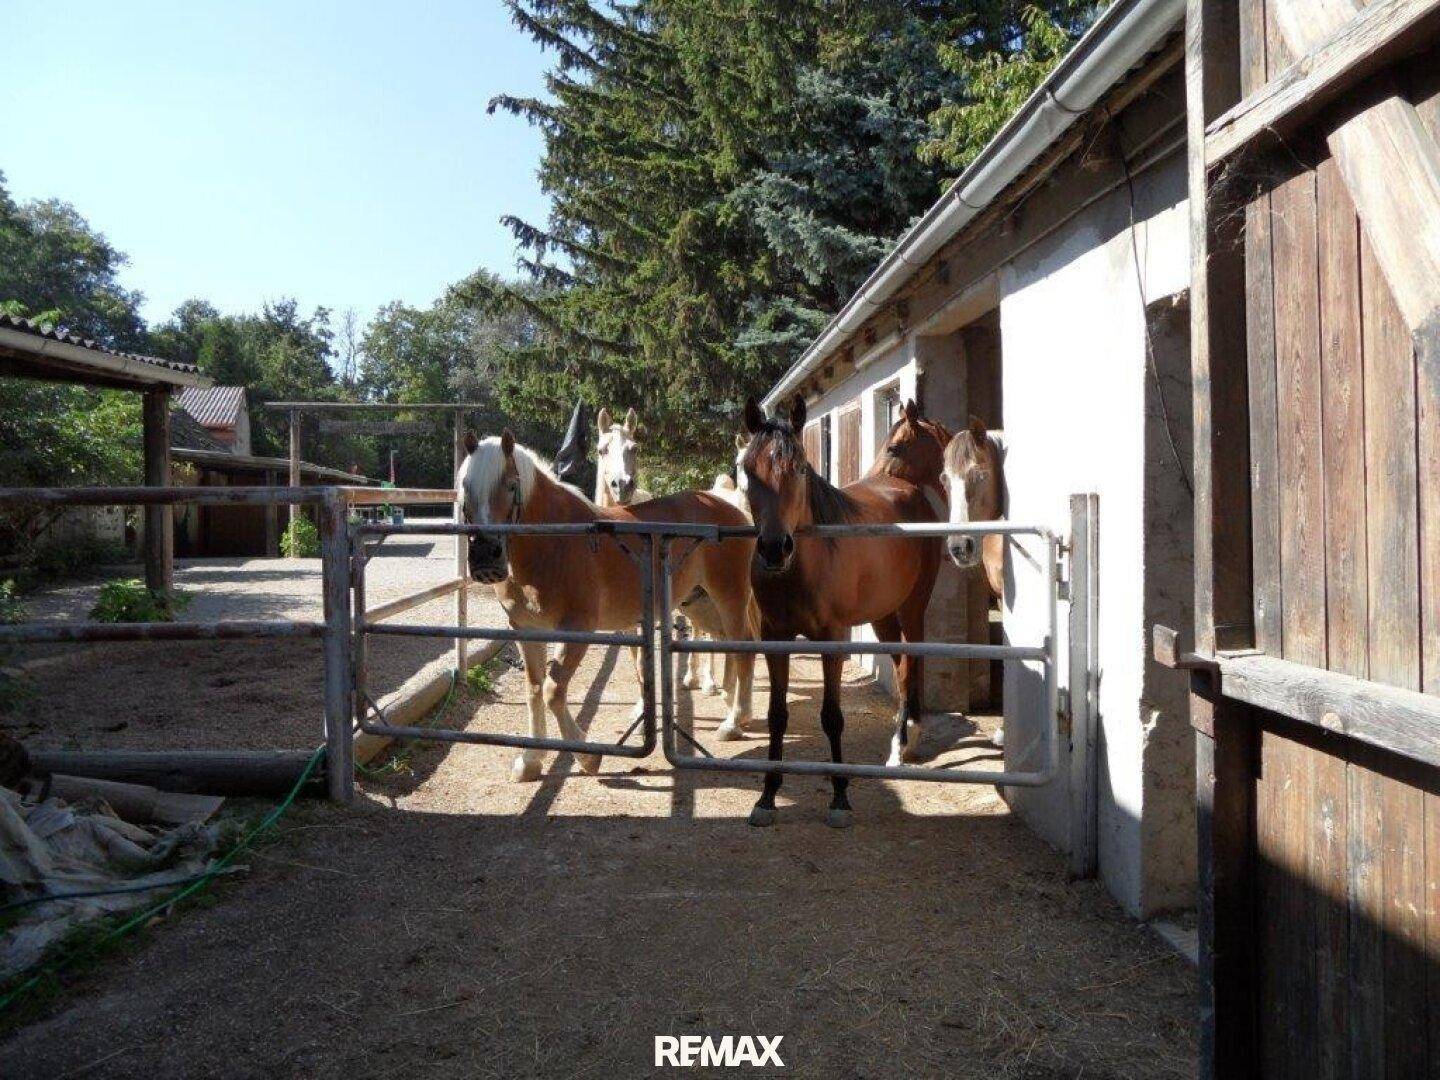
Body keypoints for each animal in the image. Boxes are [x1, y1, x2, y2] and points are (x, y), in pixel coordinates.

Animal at [458, 430, 756, 780]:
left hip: (729, 597)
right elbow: (534, 690)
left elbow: (553, 691)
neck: (553, 541)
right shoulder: (525, 629)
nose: (484, 558)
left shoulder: (578, 629)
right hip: (699, 604)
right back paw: (734, 706)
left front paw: (588, 757)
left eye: (510, 485)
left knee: (743, 648)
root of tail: (734, 511)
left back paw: (733, 723)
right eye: (465, 486)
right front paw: (530, 761)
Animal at [737, 395, 950, 828]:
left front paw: (839, 797)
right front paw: (767, 796)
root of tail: (906, 488)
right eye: (748, 471)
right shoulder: (774, 638)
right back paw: (899, 743)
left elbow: (832, 716)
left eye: (800, 468)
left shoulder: (832, 640)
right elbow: (777, 714)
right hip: (883, 616)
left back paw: (906, 744)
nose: (774, 549)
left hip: (912, 608)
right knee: (900, 666)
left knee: (910, 667)